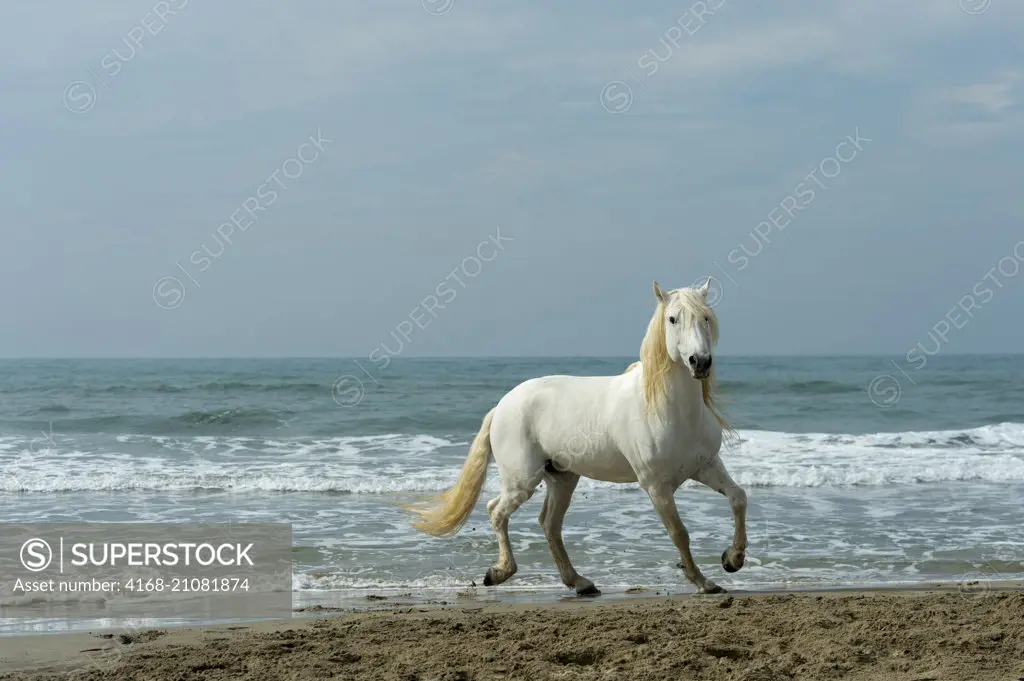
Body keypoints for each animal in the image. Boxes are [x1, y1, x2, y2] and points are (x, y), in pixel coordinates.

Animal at [403, 278, 749, 593]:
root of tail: (502, 405)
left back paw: (579, 583)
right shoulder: (656, 487)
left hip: (562, 478)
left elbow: (738, 497)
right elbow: (680, 533)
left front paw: (732, 560)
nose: (700, 362)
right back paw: (499, 572)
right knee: (497, 511)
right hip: (522, 481)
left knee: (549, 524)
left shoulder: (705, 466)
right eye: (673, 319)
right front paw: (705, 583)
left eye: (706, 317)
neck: (670, 410)